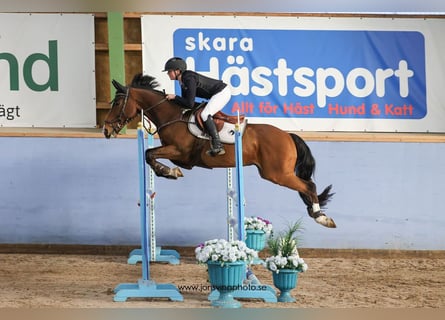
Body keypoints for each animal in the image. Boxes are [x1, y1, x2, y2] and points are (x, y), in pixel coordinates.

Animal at [102, 73, 334, 228]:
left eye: (118, 103)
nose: (105, 130)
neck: (172, 116)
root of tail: (287, 136)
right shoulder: (176, 153)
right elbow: (149, 155)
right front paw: (170, 172)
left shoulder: (180, 152)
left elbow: (150, 155)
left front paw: (170, 172)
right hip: (275, 173)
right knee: (306, 187)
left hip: (277, 174)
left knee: (309, 186)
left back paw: (321, 217)